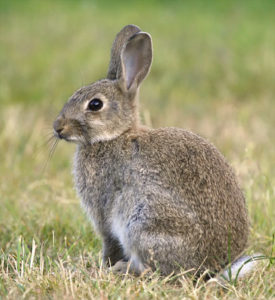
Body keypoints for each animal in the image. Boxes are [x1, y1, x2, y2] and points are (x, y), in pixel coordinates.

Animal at [52, 24, 253, 278]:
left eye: (95, 104)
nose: (57, 127)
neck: (114, 136)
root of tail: (213, 267)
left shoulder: (103, 211)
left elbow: (109, 241)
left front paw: (103, 267)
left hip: (143, 222)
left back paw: (123, 269)